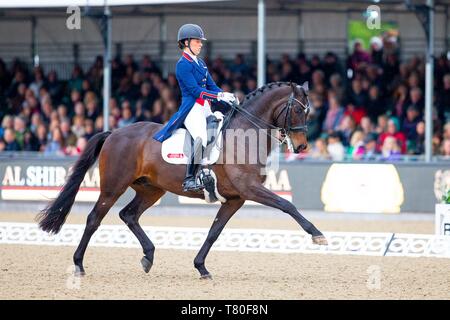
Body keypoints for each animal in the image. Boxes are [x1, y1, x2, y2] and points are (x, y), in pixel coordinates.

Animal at [37, 81, 326, 278]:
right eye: (297, 110)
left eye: (308, 112)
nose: (302, 147)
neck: (244, 135)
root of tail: (115, 133)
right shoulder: (250, 189)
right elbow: (287, 205)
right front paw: (318, 234)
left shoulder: (235, 199)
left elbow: (214, 232)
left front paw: (201, 268)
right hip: (113, 187)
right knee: (94, 219)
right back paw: (78, 264)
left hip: (151, 189)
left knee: (129, 215)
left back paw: (148, 256)